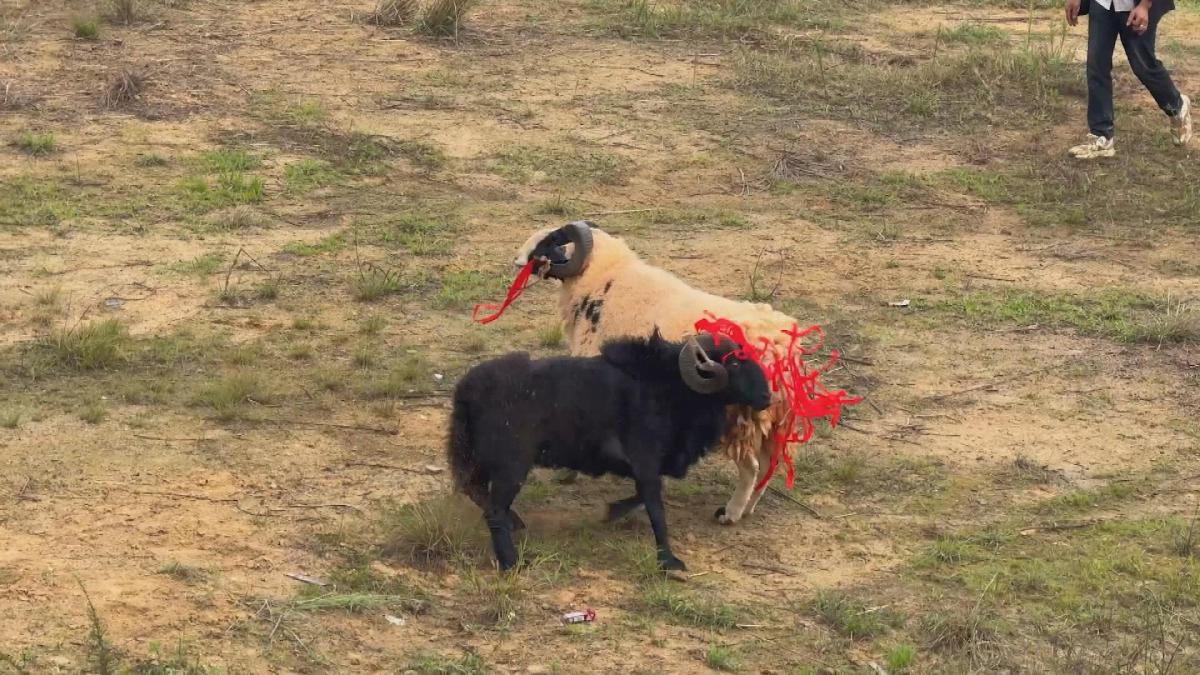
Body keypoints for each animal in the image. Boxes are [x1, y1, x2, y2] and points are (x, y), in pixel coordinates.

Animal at [447, 330, 772, 572]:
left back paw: (516, 524)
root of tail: (466, 390)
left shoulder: (647, 467)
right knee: (494, 510)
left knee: (476, 492)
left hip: (479, 459)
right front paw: (669, 561)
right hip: (511, 464)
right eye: (734, 364)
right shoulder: (645, 461)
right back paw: (511, 561)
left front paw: (609, 511)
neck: (668, 386)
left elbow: (642, 497)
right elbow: (656, 509)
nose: (767, 397)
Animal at [510, 220, 857, 526]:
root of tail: (779, 346)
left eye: (551, 240)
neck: (603, 279)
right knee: (769, 464)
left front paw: (570, 473)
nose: (516, 259)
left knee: (751, 467)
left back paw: (730, 514)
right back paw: (747, 509)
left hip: (737, 418)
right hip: (773, 421)